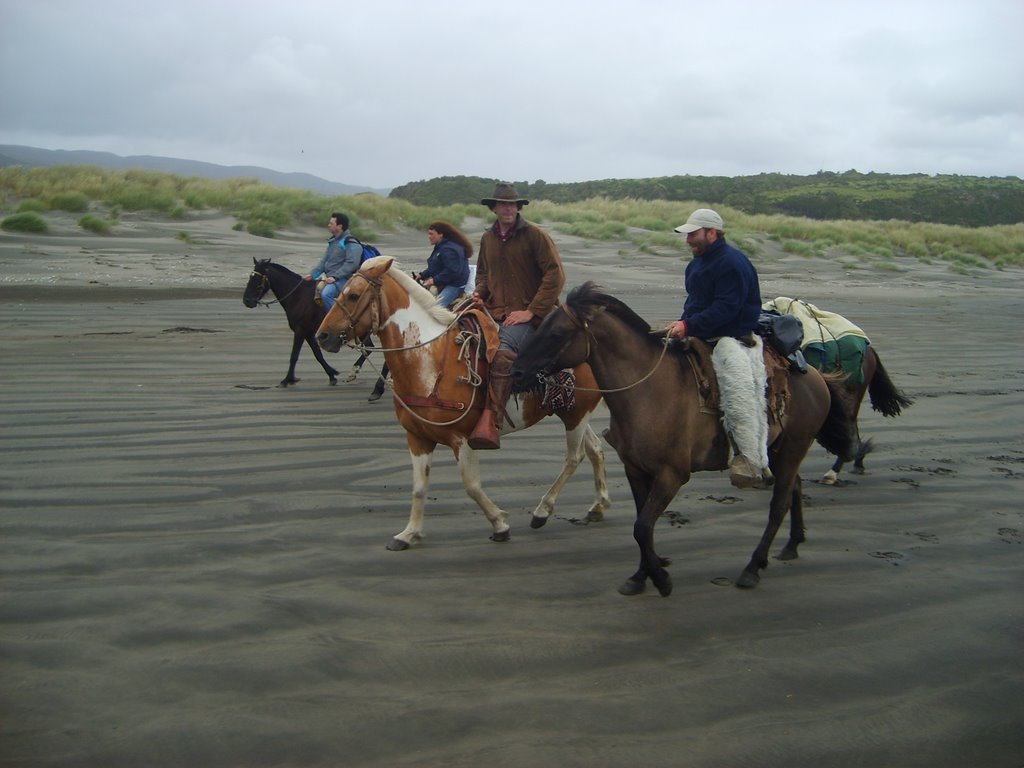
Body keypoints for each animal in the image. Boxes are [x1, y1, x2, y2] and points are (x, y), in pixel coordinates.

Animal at [240, 260, 387, 393]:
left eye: (258, 279)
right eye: (250, 277)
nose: (247, 301)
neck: (299, 296)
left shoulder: (300, 330)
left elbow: (294, 355)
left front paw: (287, 380)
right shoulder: (309, 332)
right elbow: (317, 354)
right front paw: (331, 374)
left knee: (369, 347)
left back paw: (355, 372)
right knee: (369, 347)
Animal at [315, 259, 610, 552]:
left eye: (354, 295)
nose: (322, 336)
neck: (429, 363)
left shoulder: (463, 439)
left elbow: (471, 485)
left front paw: (500, 524)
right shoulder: (417, 438)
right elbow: (419, 487)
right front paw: (408, 534)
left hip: (576, 414)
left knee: (574, 457)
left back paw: (542, 511)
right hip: (571, 412)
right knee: (594, 449)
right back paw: (597, 507)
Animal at [512, 286, 856, 598]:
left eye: (557, 332)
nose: (516, 371)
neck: (649, 390)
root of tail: (815, 376)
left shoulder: (673, 474)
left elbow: (642, 527)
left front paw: (661, 579)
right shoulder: (635, 469)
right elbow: (643, 525)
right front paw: (642, 576)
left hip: (794, 447)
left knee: (779, 504)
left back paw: (752, 568)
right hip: (780, 448)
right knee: (794, 488)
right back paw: (791, 546)